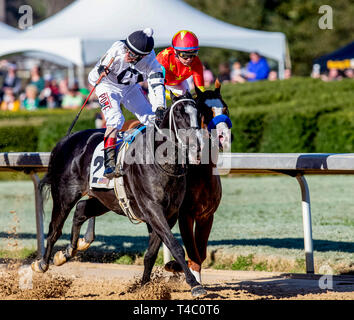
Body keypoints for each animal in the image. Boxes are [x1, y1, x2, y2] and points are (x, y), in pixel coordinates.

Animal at [32, 92, 207, 298]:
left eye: (199, 113)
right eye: (179, 114)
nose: (197, 145)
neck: (161, 162)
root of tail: (66, 139)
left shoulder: (169, 213)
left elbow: (151, 253)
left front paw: (144, 286)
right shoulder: (152, 209)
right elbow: (175, 246)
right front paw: (195, 284)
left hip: (105, 199)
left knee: (81, 209)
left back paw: (68, 252)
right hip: (64, 195)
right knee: (55, 229)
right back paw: (42, 263)